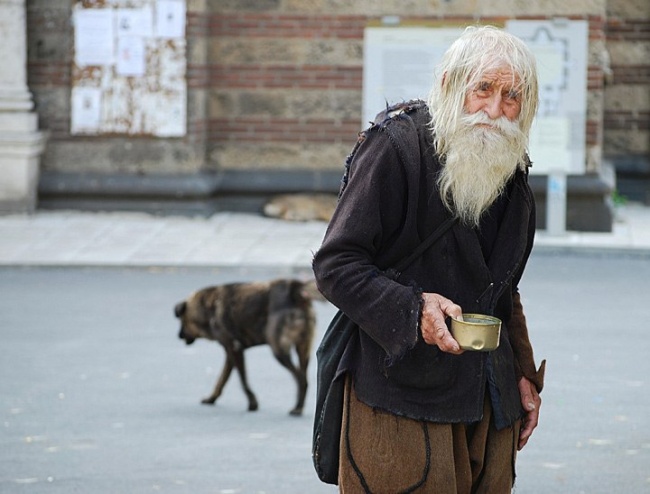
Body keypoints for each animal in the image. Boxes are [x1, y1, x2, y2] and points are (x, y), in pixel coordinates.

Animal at [175, 280, 322, 414]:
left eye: (182, 321)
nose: (179, 336)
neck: (208, 306)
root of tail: (294, 286)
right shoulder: (230, 354)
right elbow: (221, 379)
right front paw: (212, 398)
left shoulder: (235, 349)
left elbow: (243, 380)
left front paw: (252, 403)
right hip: (303, 350)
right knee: (304, 376)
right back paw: (300, 406)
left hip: (279, 350)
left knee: (301, 379)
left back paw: (297, 408)